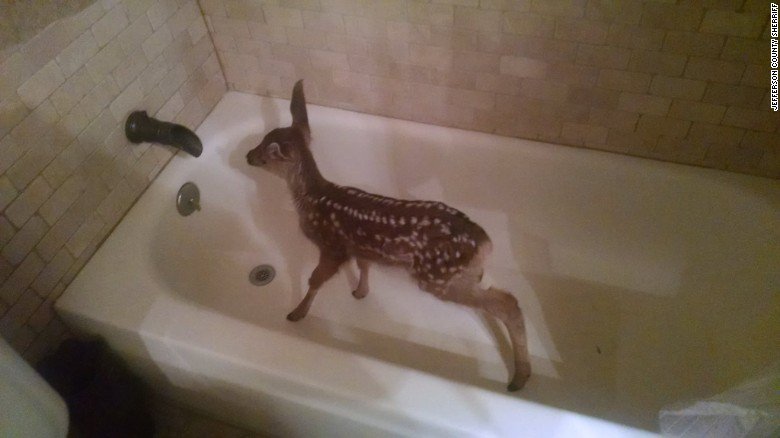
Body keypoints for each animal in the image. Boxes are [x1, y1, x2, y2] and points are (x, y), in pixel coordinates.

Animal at [246, 80, 531, 391]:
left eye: (265, 152)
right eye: (262, 140)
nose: (247, 155)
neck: (313, 197)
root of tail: (484, 242)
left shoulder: (332, 246)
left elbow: (315, 280)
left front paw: (297, 313)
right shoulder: (359, 247)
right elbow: (364, 265)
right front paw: (360, 292)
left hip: (437, 276)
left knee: (507, 303)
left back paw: (519, 377)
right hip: (457, 275)